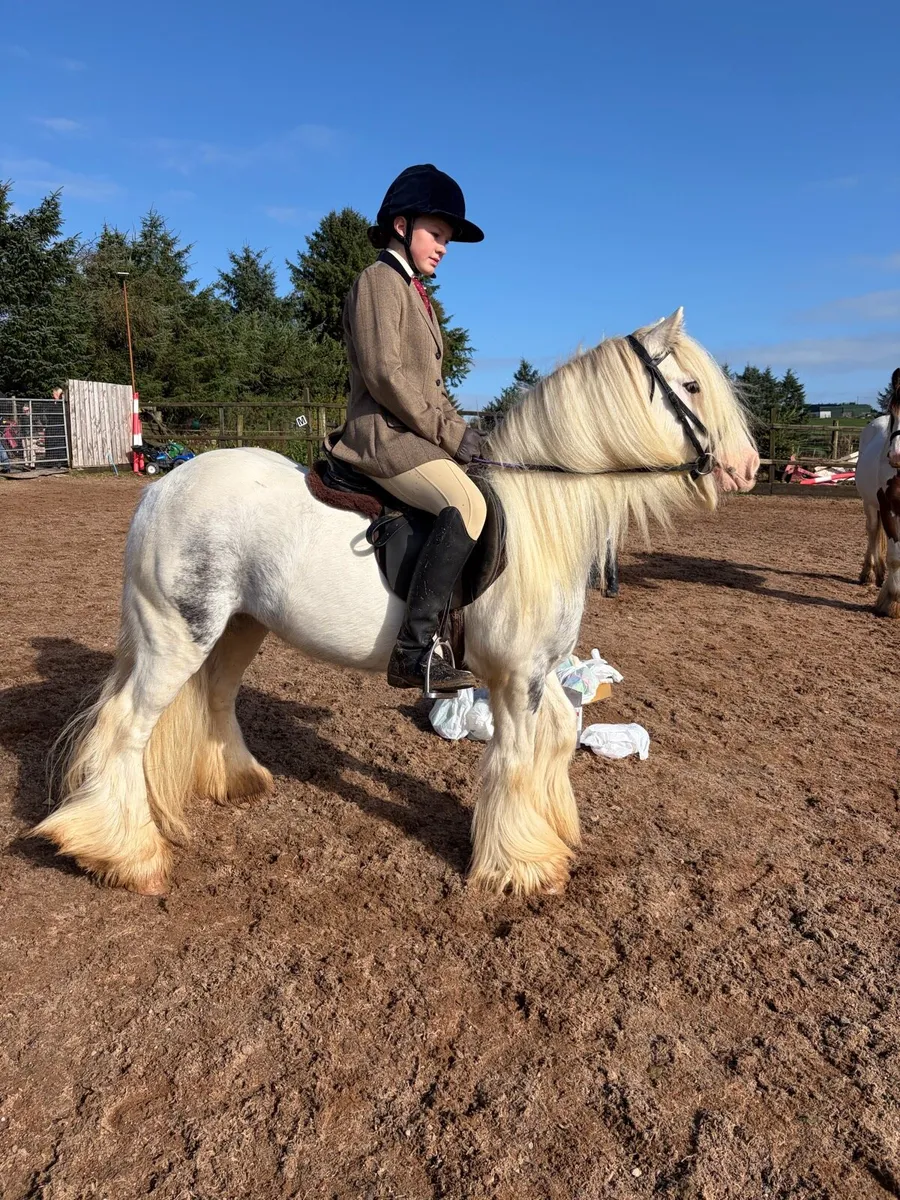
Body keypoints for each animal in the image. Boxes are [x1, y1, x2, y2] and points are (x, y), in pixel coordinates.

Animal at [33, 308, 759, 898]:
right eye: (692, 387)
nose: (748, 467)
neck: (540, 515)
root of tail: (164, 487)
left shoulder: (541, 671)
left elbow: (555, 740)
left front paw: (552, 839)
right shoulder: (514, 677)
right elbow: (516, 758)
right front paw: (522, 867)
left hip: (238, 627)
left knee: (214, 697)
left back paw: (236, 781)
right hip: (175, 636)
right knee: (126, 726)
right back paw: (126, 857)